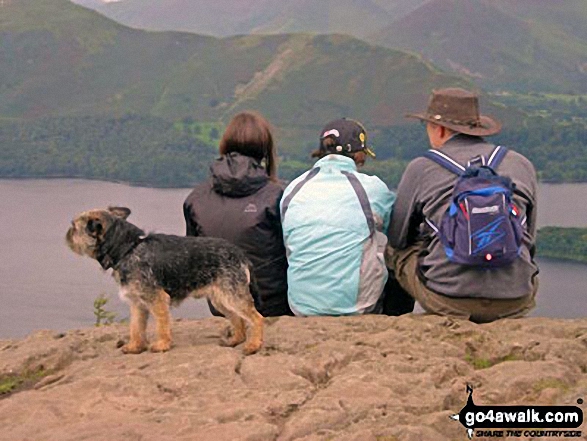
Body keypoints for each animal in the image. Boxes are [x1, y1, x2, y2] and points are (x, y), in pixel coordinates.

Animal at [66, 206, 264, 354]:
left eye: (74, 227)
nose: (67, 234)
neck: (128, 248)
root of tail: (241, 255)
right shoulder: (137, 304)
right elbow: (136, 327)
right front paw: (135, 346)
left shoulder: (157, 299)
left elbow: (161, 324)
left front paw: (162, 344)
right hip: (221, 299)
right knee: (237, 319)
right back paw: (236, 340)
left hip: (232, 296)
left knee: (256, 317)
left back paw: (253, 345)